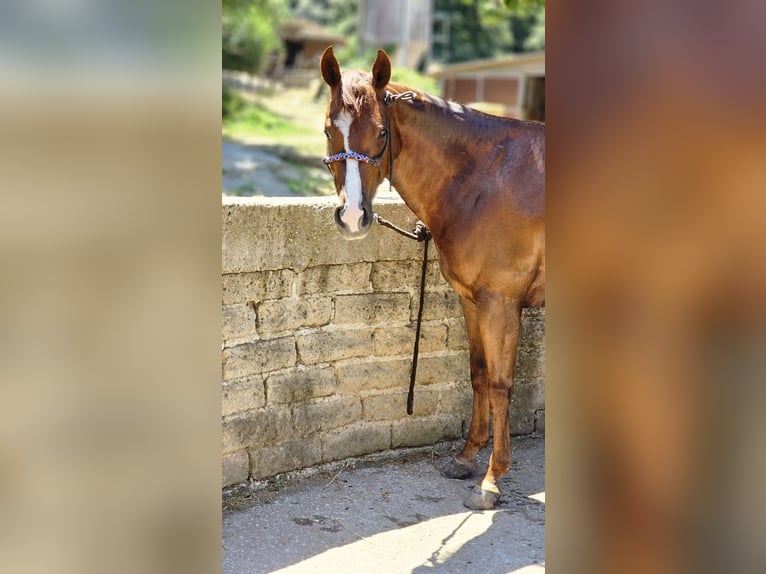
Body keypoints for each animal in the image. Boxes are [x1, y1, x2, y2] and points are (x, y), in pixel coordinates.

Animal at [319, 47, 545, 510]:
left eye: (382, 133)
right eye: (330, 130)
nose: (352, 217)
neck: (485, 177)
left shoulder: (501, 304)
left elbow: (500, 383)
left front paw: (492, 479)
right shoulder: (472, 300)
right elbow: (478, 372)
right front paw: (466, 457)